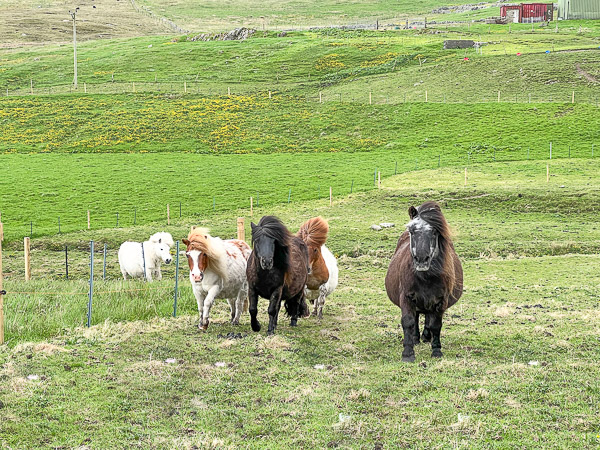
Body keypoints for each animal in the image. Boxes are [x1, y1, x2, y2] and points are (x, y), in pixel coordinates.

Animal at [384, 200, 464, 362]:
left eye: (434, 232)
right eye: (412, 231)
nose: (421, 259)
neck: (425, 278)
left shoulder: (440, 301)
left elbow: (436, 325)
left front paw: (436, 351)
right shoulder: (407, 297)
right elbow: (408, 321)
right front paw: (408, 353)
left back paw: (426, 337)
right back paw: (416, 338)